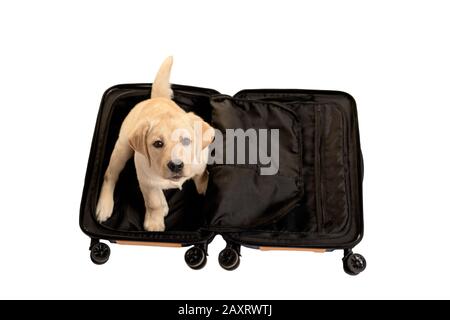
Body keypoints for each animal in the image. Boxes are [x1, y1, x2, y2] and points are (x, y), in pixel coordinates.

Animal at [95, 57, 214, 231]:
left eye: (186, 141)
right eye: (158, 144)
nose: (176, 165)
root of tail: (155, 98)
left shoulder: (199, 167)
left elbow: (202, 179)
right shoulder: (144, 176)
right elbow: (153, 201)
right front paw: (154, 223)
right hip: (122, 148)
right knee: (110, 175)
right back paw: (104, 206)